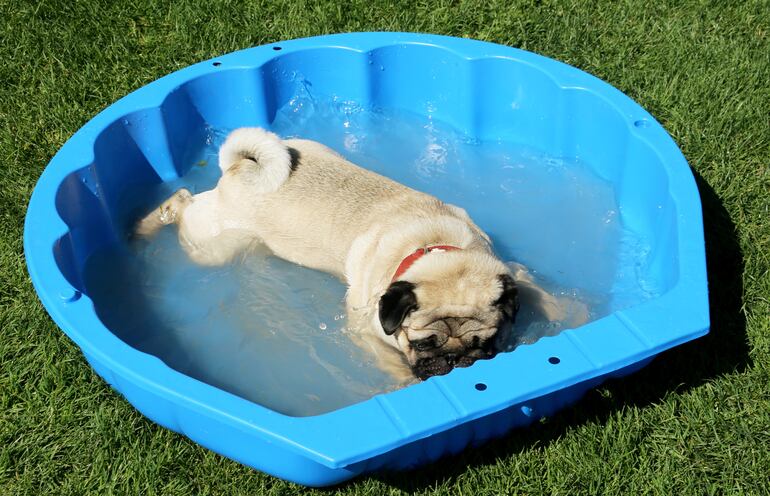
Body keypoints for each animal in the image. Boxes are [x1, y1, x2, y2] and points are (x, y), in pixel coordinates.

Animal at [136, 127, 584, 380]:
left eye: (485, 343)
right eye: (425, 344)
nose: (459, 361)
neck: (433, 243)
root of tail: (242, 169)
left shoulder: (506, 268)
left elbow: (534, 288)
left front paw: (574, 313)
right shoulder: (367, 330)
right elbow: (394, 363)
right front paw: (407, 384)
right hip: (213, 245)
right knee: (181, 202)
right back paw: (145, 226)